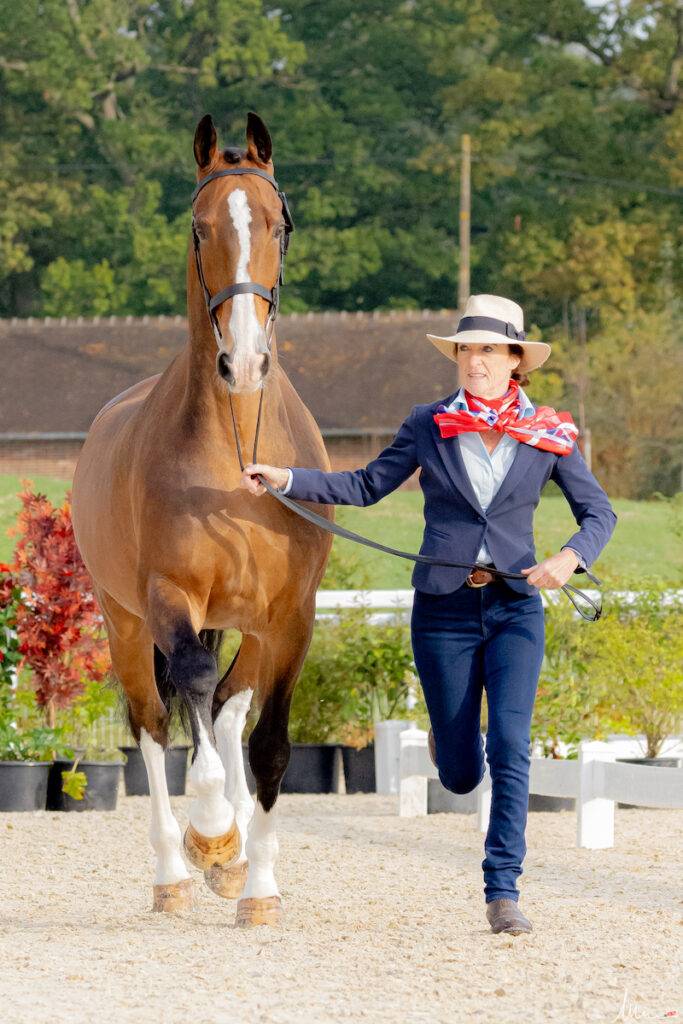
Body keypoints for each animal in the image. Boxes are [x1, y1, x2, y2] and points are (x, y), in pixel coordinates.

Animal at [71, 112, 334, 926]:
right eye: (198, 225)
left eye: (281, 223)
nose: (244, 362)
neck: (234, 458)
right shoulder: (169, 601)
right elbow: (186, 693)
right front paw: (212, 836)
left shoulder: (290, 616)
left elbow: (270, 745)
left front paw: (257, 887)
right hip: (124, 621)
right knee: (154, 722)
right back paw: (175, 872)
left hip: (248, 625)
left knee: (222, 706)